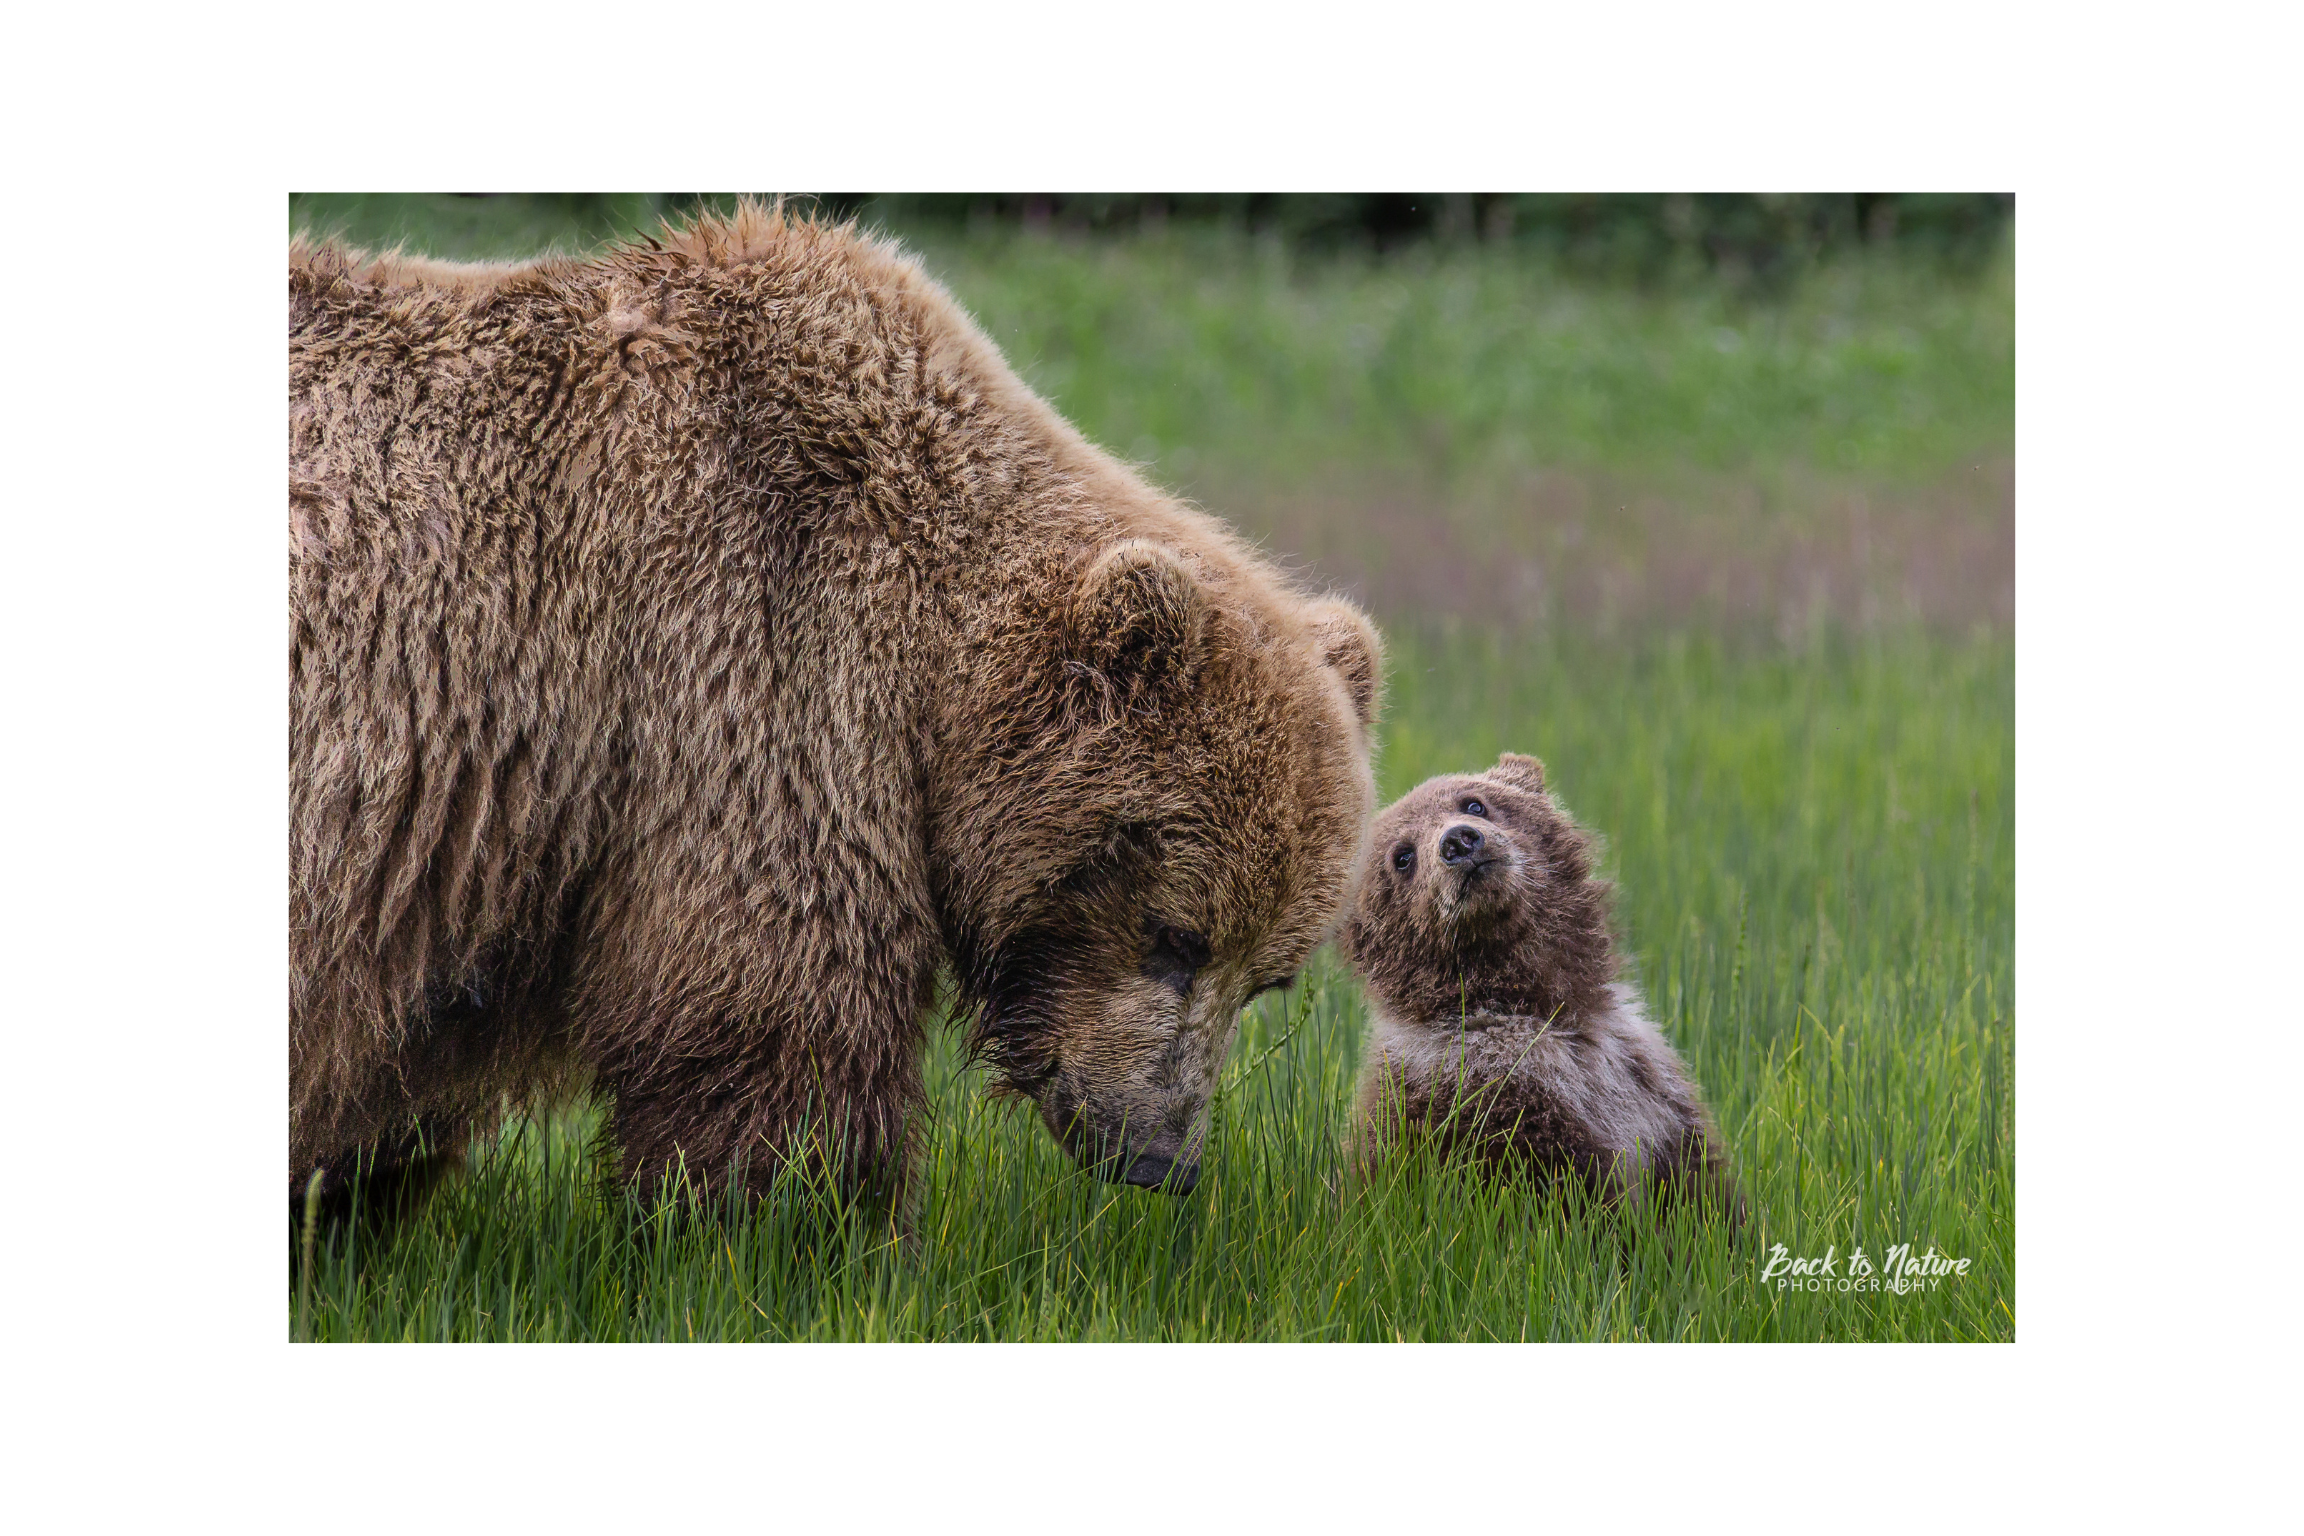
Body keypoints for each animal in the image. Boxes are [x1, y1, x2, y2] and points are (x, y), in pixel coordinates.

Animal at [281, 201, 1373, 1215]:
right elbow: (781, 1008)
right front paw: (805, 1221)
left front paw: (350, 1198)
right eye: (1175, 938)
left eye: (1269, 976)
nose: (1161, 1160)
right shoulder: (746, 656)